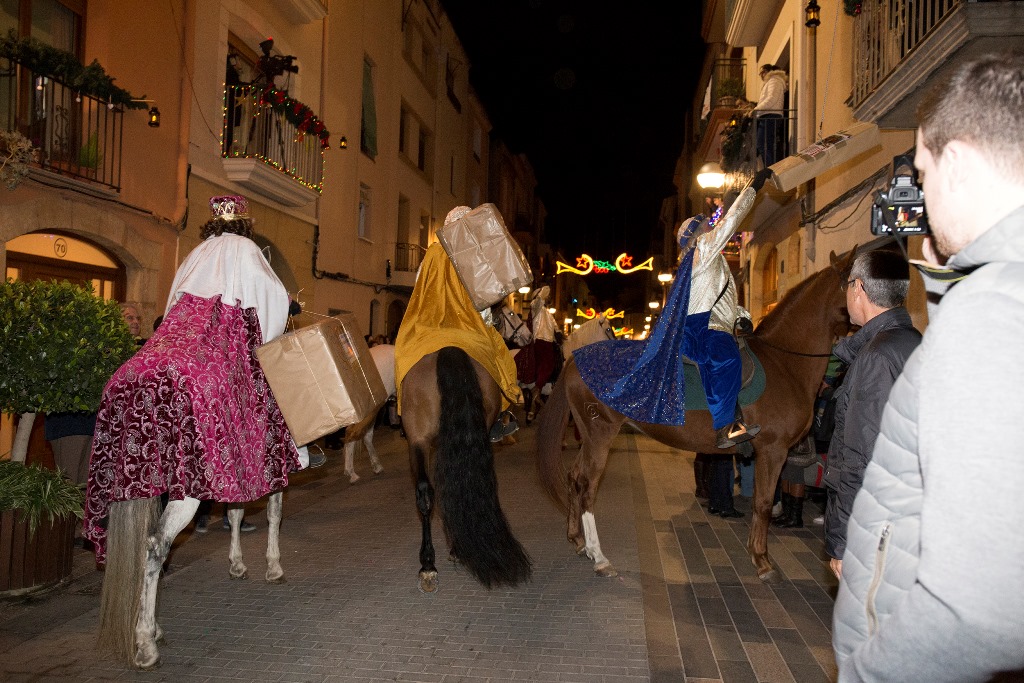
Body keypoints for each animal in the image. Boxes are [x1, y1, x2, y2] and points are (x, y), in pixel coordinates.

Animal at [532, 250, 851, 581]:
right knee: (587, 485)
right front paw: (762, 561)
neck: (784, 363)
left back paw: (578, 540)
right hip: (600, 435)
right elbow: (763, 503)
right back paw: (599, 556)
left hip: (589, 435)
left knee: (573, 478)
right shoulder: (772, 451)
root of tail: (574, 359)